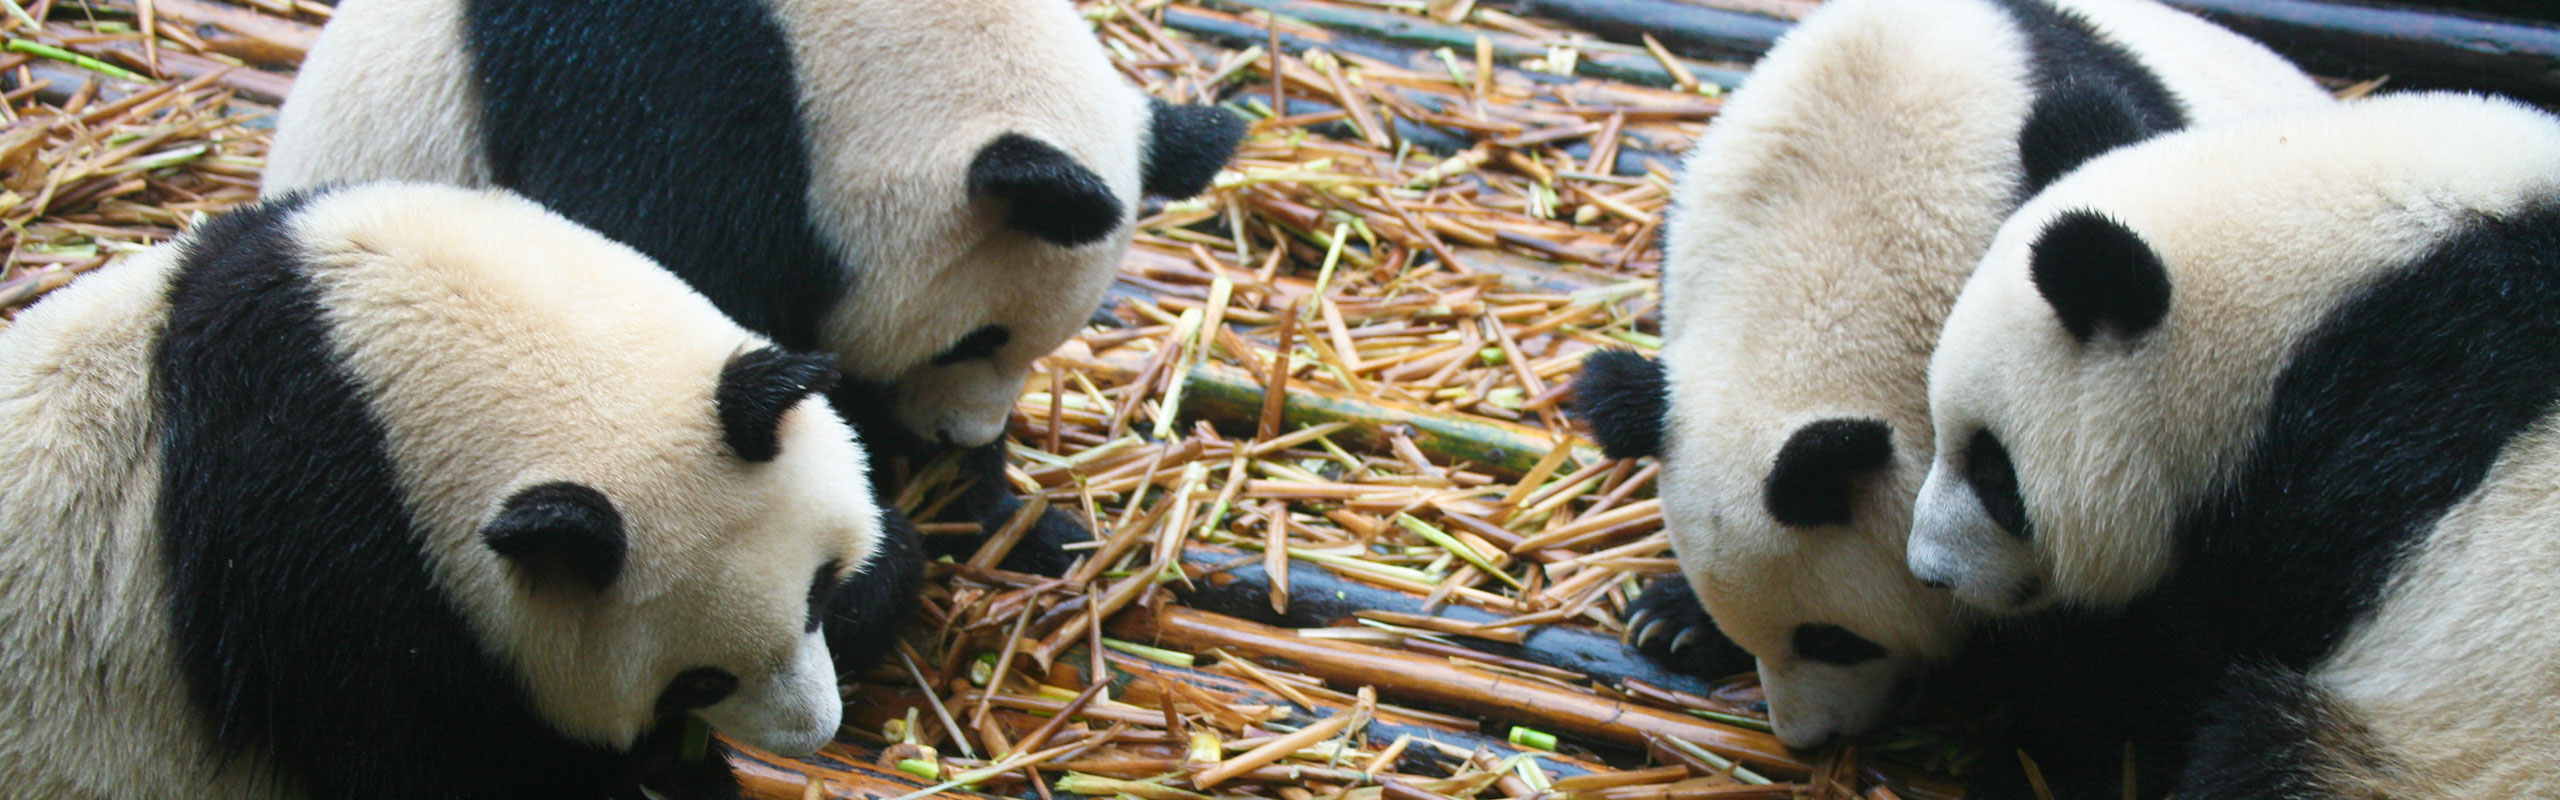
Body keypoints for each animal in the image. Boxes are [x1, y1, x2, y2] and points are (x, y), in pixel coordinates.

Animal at [0, 182, 911, 800]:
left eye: (816, 592)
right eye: (699, 682)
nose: (814, 731)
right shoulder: (324, 594)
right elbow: (439, 758)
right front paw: (669, 773)